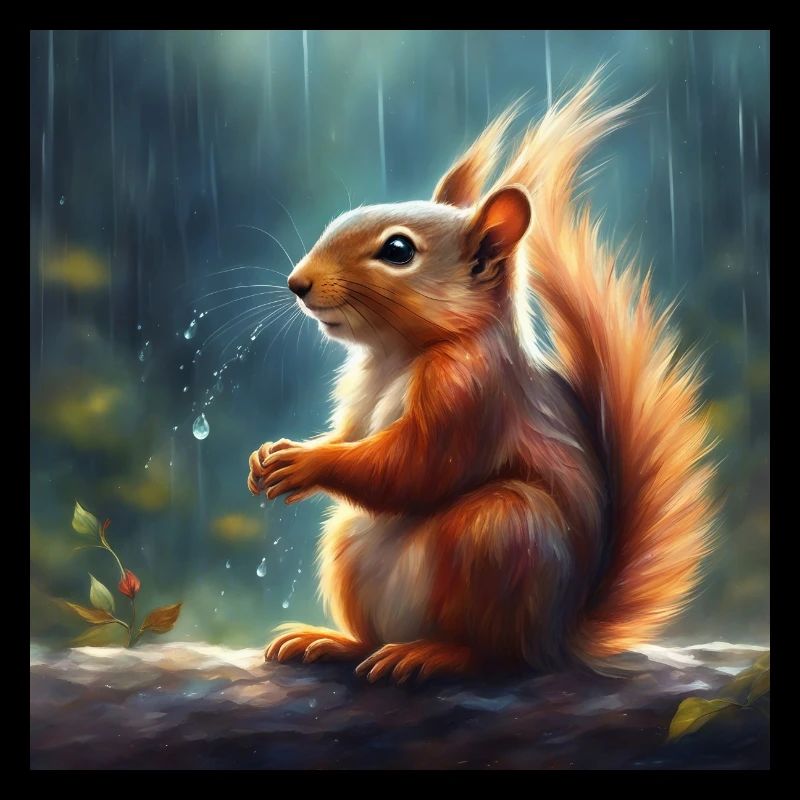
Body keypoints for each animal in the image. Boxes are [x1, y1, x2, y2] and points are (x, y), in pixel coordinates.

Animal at [247, 68, 717, 683]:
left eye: (398, 250)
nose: (296, 283)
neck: (397, 354)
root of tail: (558, 639)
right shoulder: (358, 395)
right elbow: (350, 436)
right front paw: (272, 455)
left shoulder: (471, 390)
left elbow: (414, 466)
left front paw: (306, 464)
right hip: (348, 546)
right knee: (373, 632)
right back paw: (332, 642)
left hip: (500, 534)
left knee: (496, 653)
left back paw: (433, 654)